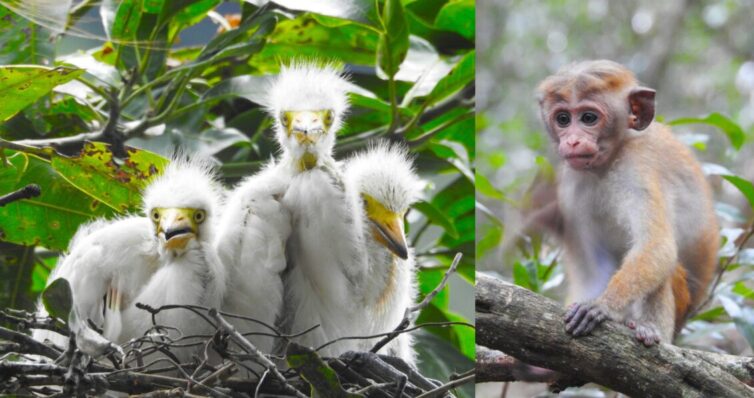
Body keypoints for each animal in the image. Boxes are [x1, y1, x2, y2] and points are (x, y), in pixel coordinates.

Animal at [536, 59, 716, 346]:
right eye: (563, 119)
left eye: (589, 118)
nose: (572, 141)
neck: (611, 158)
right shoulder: (573, 186)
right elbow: (595, 266)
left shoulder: (636, 167)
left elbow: (657, 246)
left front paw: (603, 305)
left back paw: (649, 329)